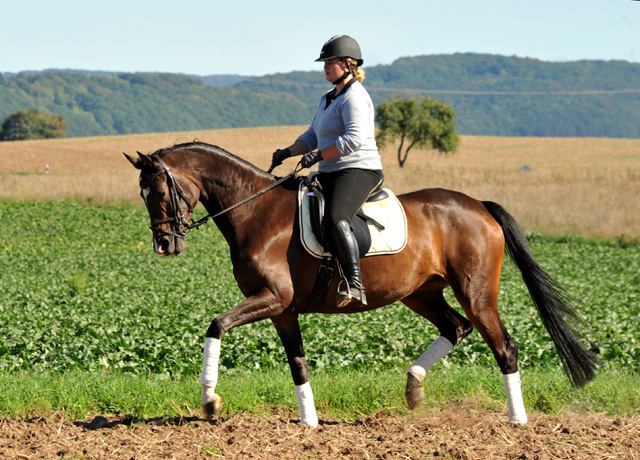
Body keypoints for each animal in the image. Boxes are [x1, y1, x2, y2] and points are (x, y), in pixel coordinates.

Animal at [125, 141, 600, 428]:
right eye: (143, 195)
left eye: (160, 193)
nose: (164, 244)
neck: (255, 212)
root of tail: (478, 206)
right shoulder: (282, 310)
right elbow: (298, 364)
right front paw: (309, 423)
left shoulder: (272, 299)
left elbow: (216, 325)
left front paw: (210, 401)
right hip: (422, 293)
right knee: (455, 328)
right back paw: (413, 388)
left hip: (476, 292)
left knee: (504, 346)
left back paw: (517, 421)